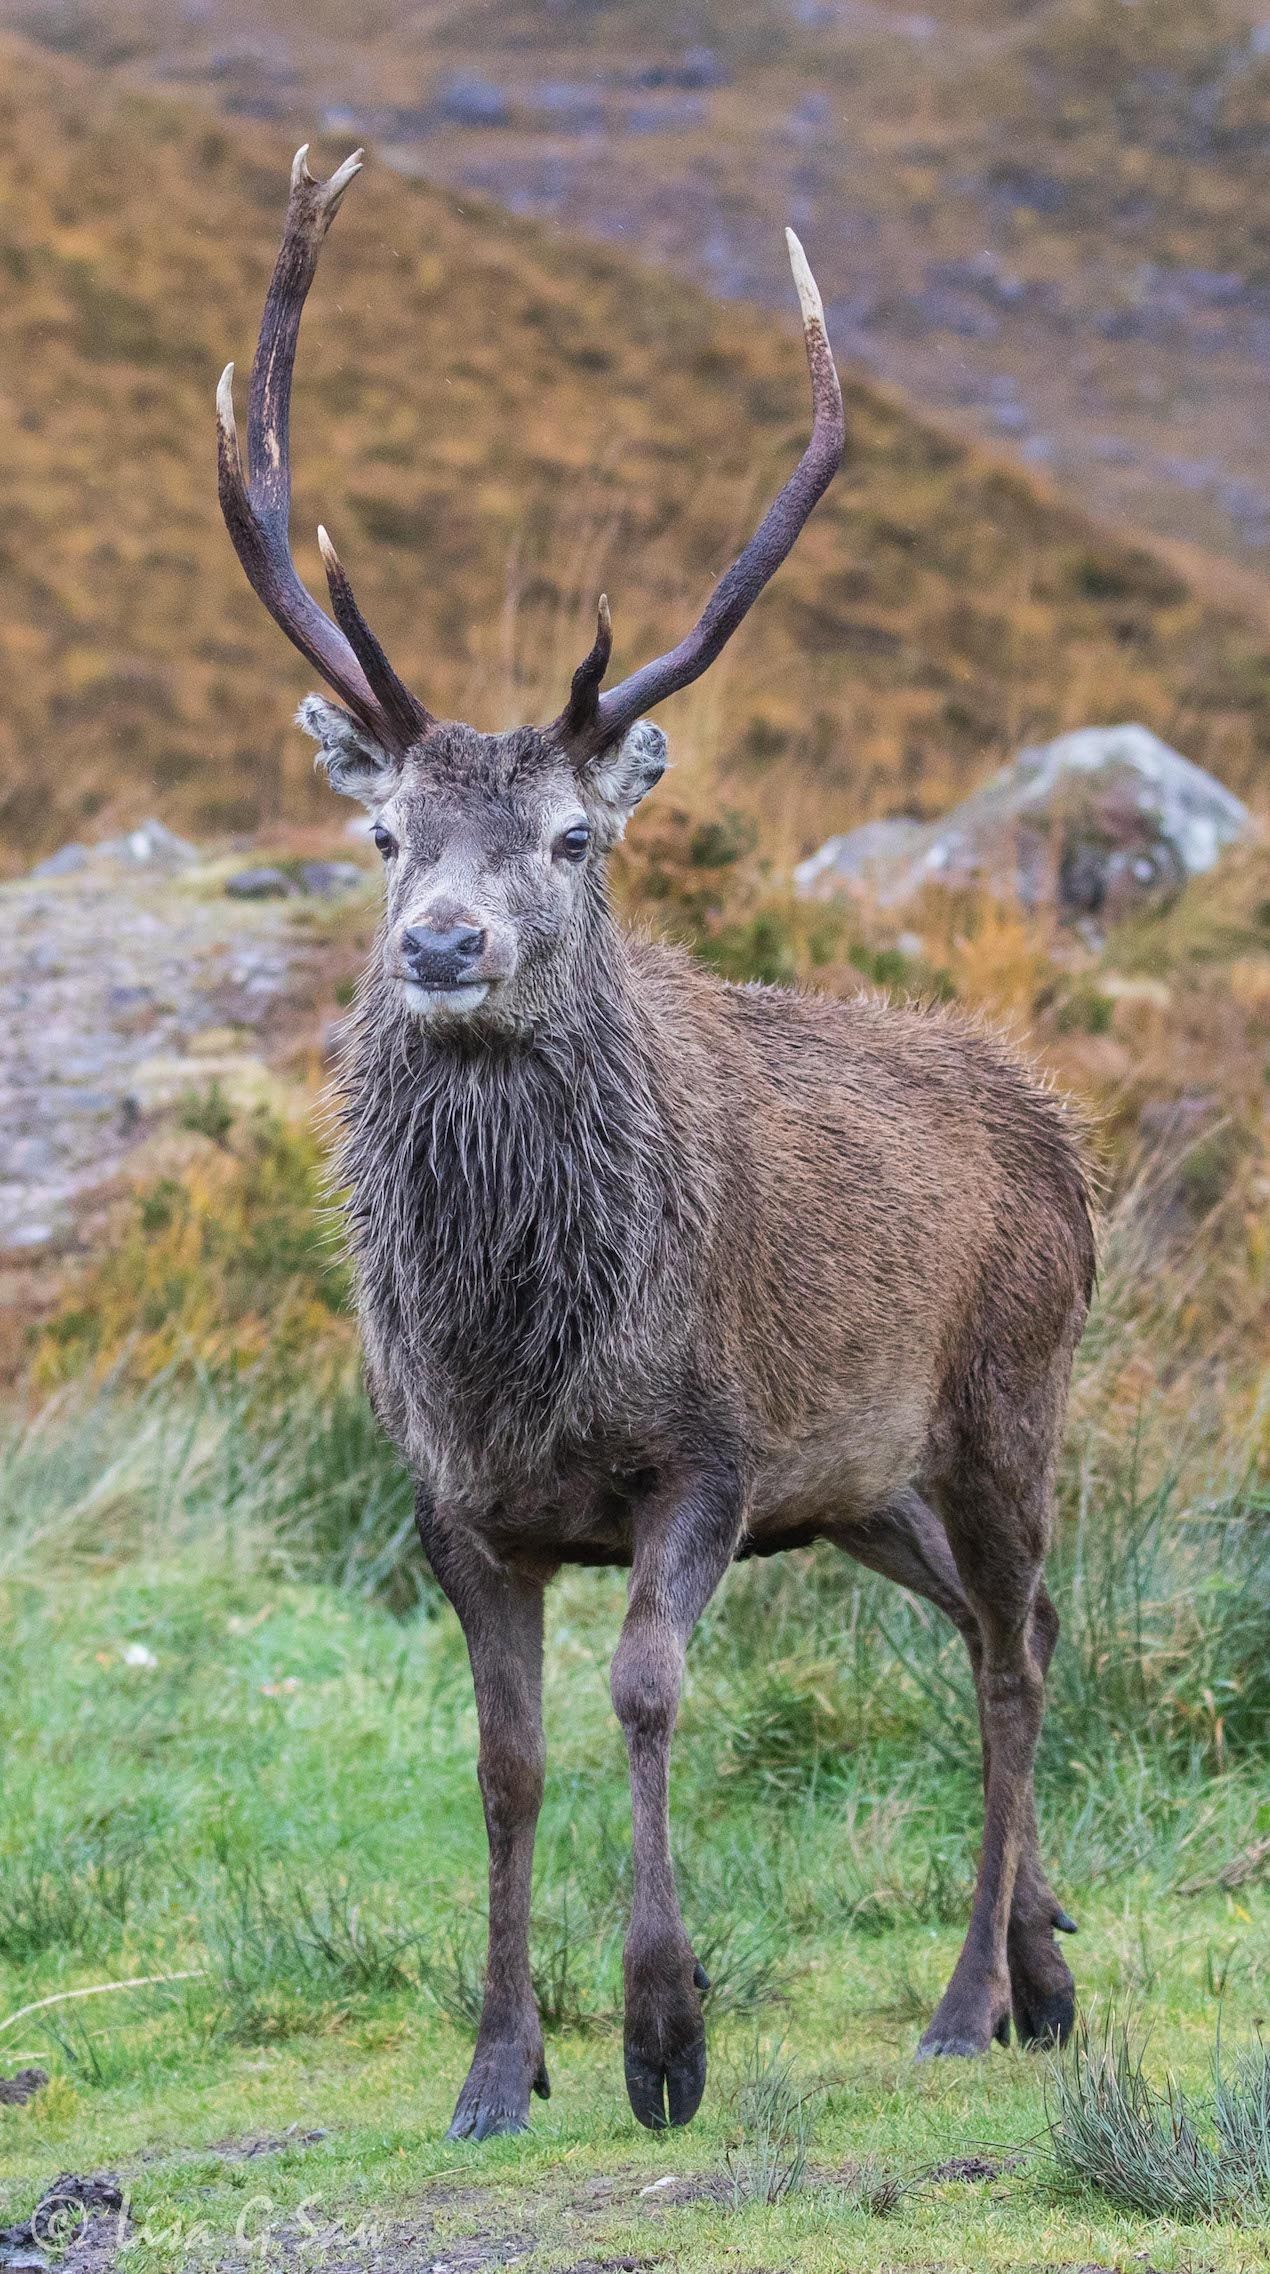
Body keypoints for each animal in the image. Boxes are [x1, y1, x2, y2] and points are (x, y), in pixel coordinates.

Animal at [216, 148, 1094, 2142]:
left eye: (568, 837)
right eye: (383, 833)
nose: (440, 944)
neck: (524, 1354)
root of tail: (1061, 1128)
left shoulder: (706, 1449)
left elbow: (643, 1692)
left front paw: (661, 2033)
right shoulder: (451, 1499)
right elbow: (506, 1755)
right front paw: (497, 2062)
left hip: (1002, 1401)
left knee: (1012, 1650)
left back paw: (966, 1998)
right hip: (865, 1485)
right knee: (1015, 1625)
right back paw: (1047, 1965)